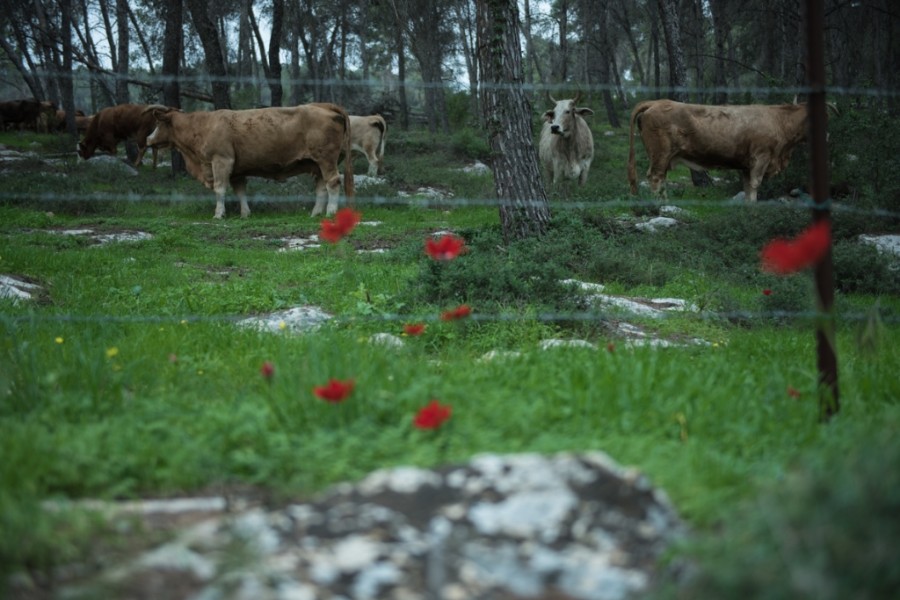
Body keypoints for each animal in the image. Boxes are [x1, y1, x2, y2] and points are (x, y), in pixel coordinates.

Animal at [142, 104, 354, 219]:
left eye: (158, 123)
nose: (148, 139)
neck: (202, 126)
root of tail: (324, 105)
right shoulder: (237, 170)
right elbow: (240, 191)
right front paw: (245, 213)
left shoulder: (221, 161)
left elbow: (220, 189)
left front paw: (219, 213)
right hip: (317, 164)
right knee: (321, 188)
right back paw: (316, 212)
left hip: (327, 160)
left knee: (333, 182)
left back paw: (330, 212)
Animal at [624, 99, 824, 200]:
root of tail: (657, 102)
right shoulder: (761, 157)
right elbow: (755, 185)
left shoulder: (746, 166)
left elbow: (747, 187)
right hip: (661, 153)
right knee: (655, 177)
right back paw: (661, 207)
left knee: (661, 179)